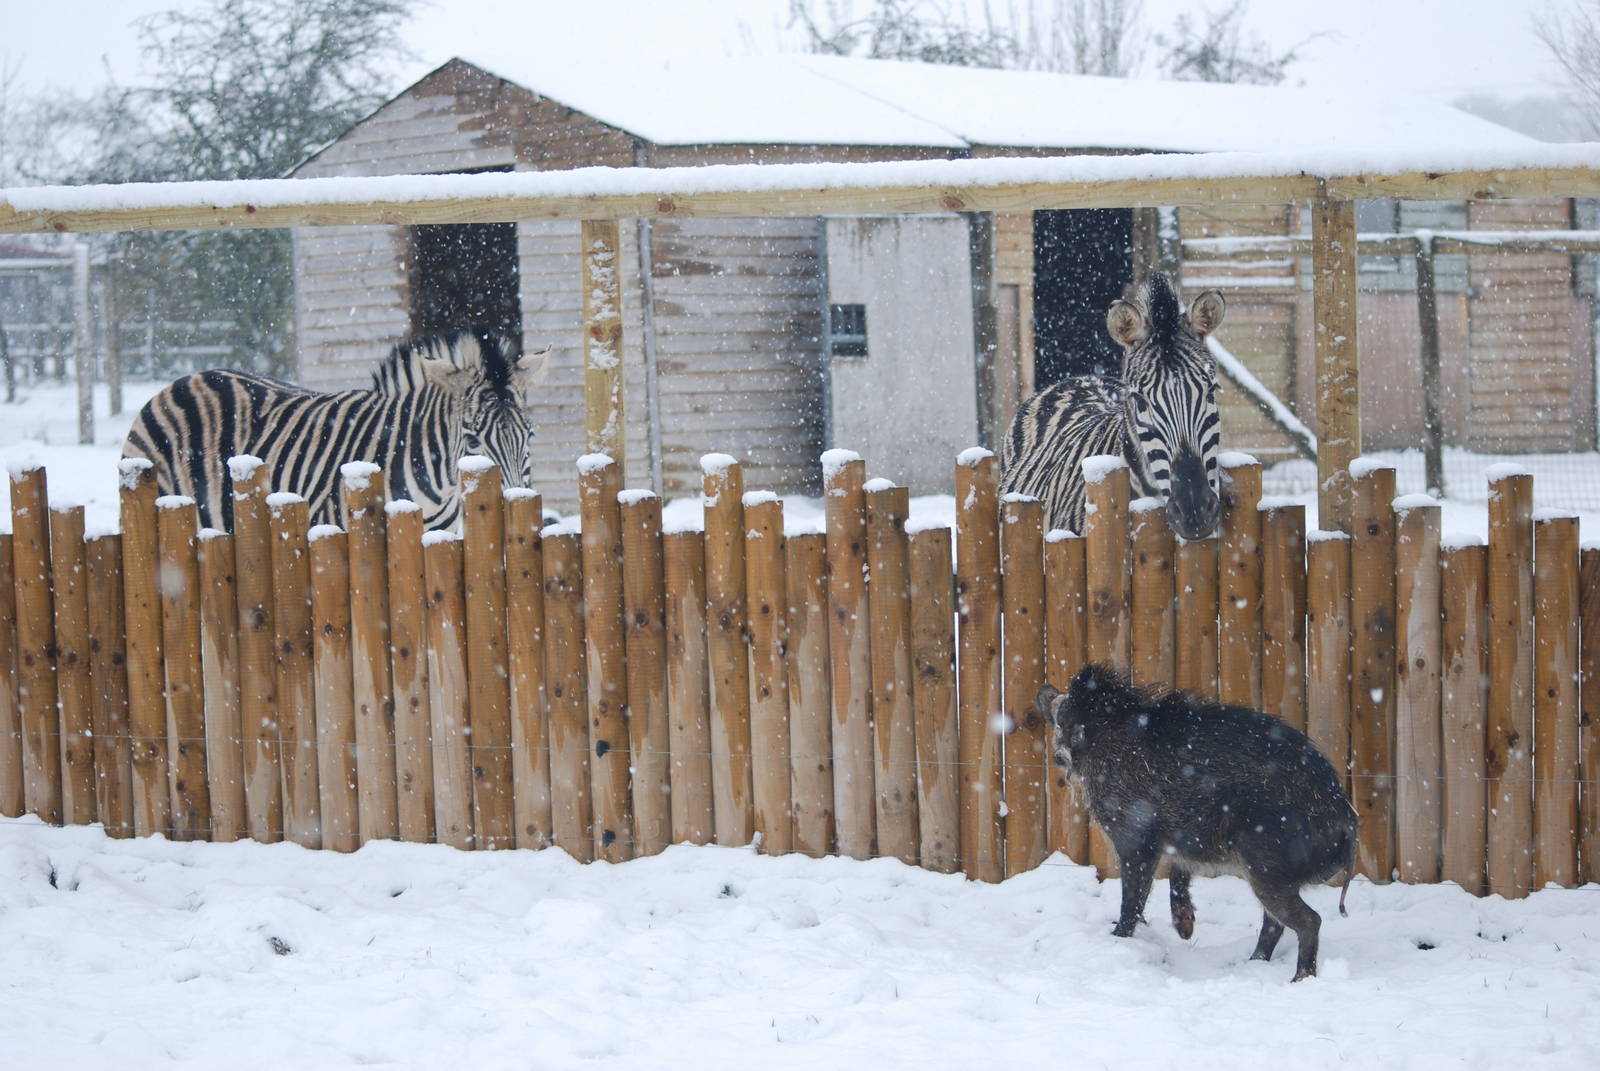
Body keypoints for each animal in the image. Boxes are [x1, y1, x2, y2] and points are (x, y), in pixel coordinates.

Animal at [1037, 663, 1357, 981]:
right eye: (1060, 720)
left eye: (1069, 722)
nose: (1045, 691)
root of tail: (1346, 815)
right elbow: (1176, 875)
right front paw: (1185, 931)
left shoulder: (1133, 835)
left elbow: (1134, 895)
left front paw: (1118, 939)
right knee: (1274, 922)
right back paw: (1250, 964)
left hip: (1266, 866)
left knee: (1308, 920)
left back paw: (1298, 978)